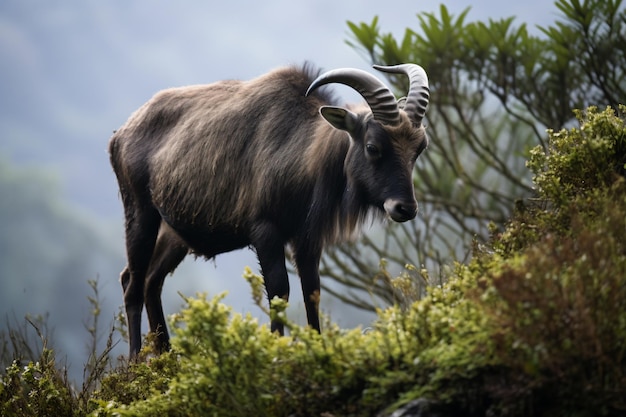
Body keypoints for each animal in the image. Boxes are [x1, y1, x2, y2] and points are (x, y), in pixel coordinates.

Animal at [109, 61, 426, 354]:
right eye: (373, 146)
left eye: (419, 147)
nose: (405, 208)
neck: (301, 151)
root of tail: (120, 135)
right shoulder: (265, 232)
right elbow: (278, 291)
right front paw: (276, 350)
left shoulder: (307, 239)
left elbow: (312, 290)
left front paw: (316, 346)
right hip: (140, 214)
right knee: (132, 283)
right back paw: (136, 361)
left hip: (174, 235)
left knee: (150, 281)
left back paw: (165, 355)